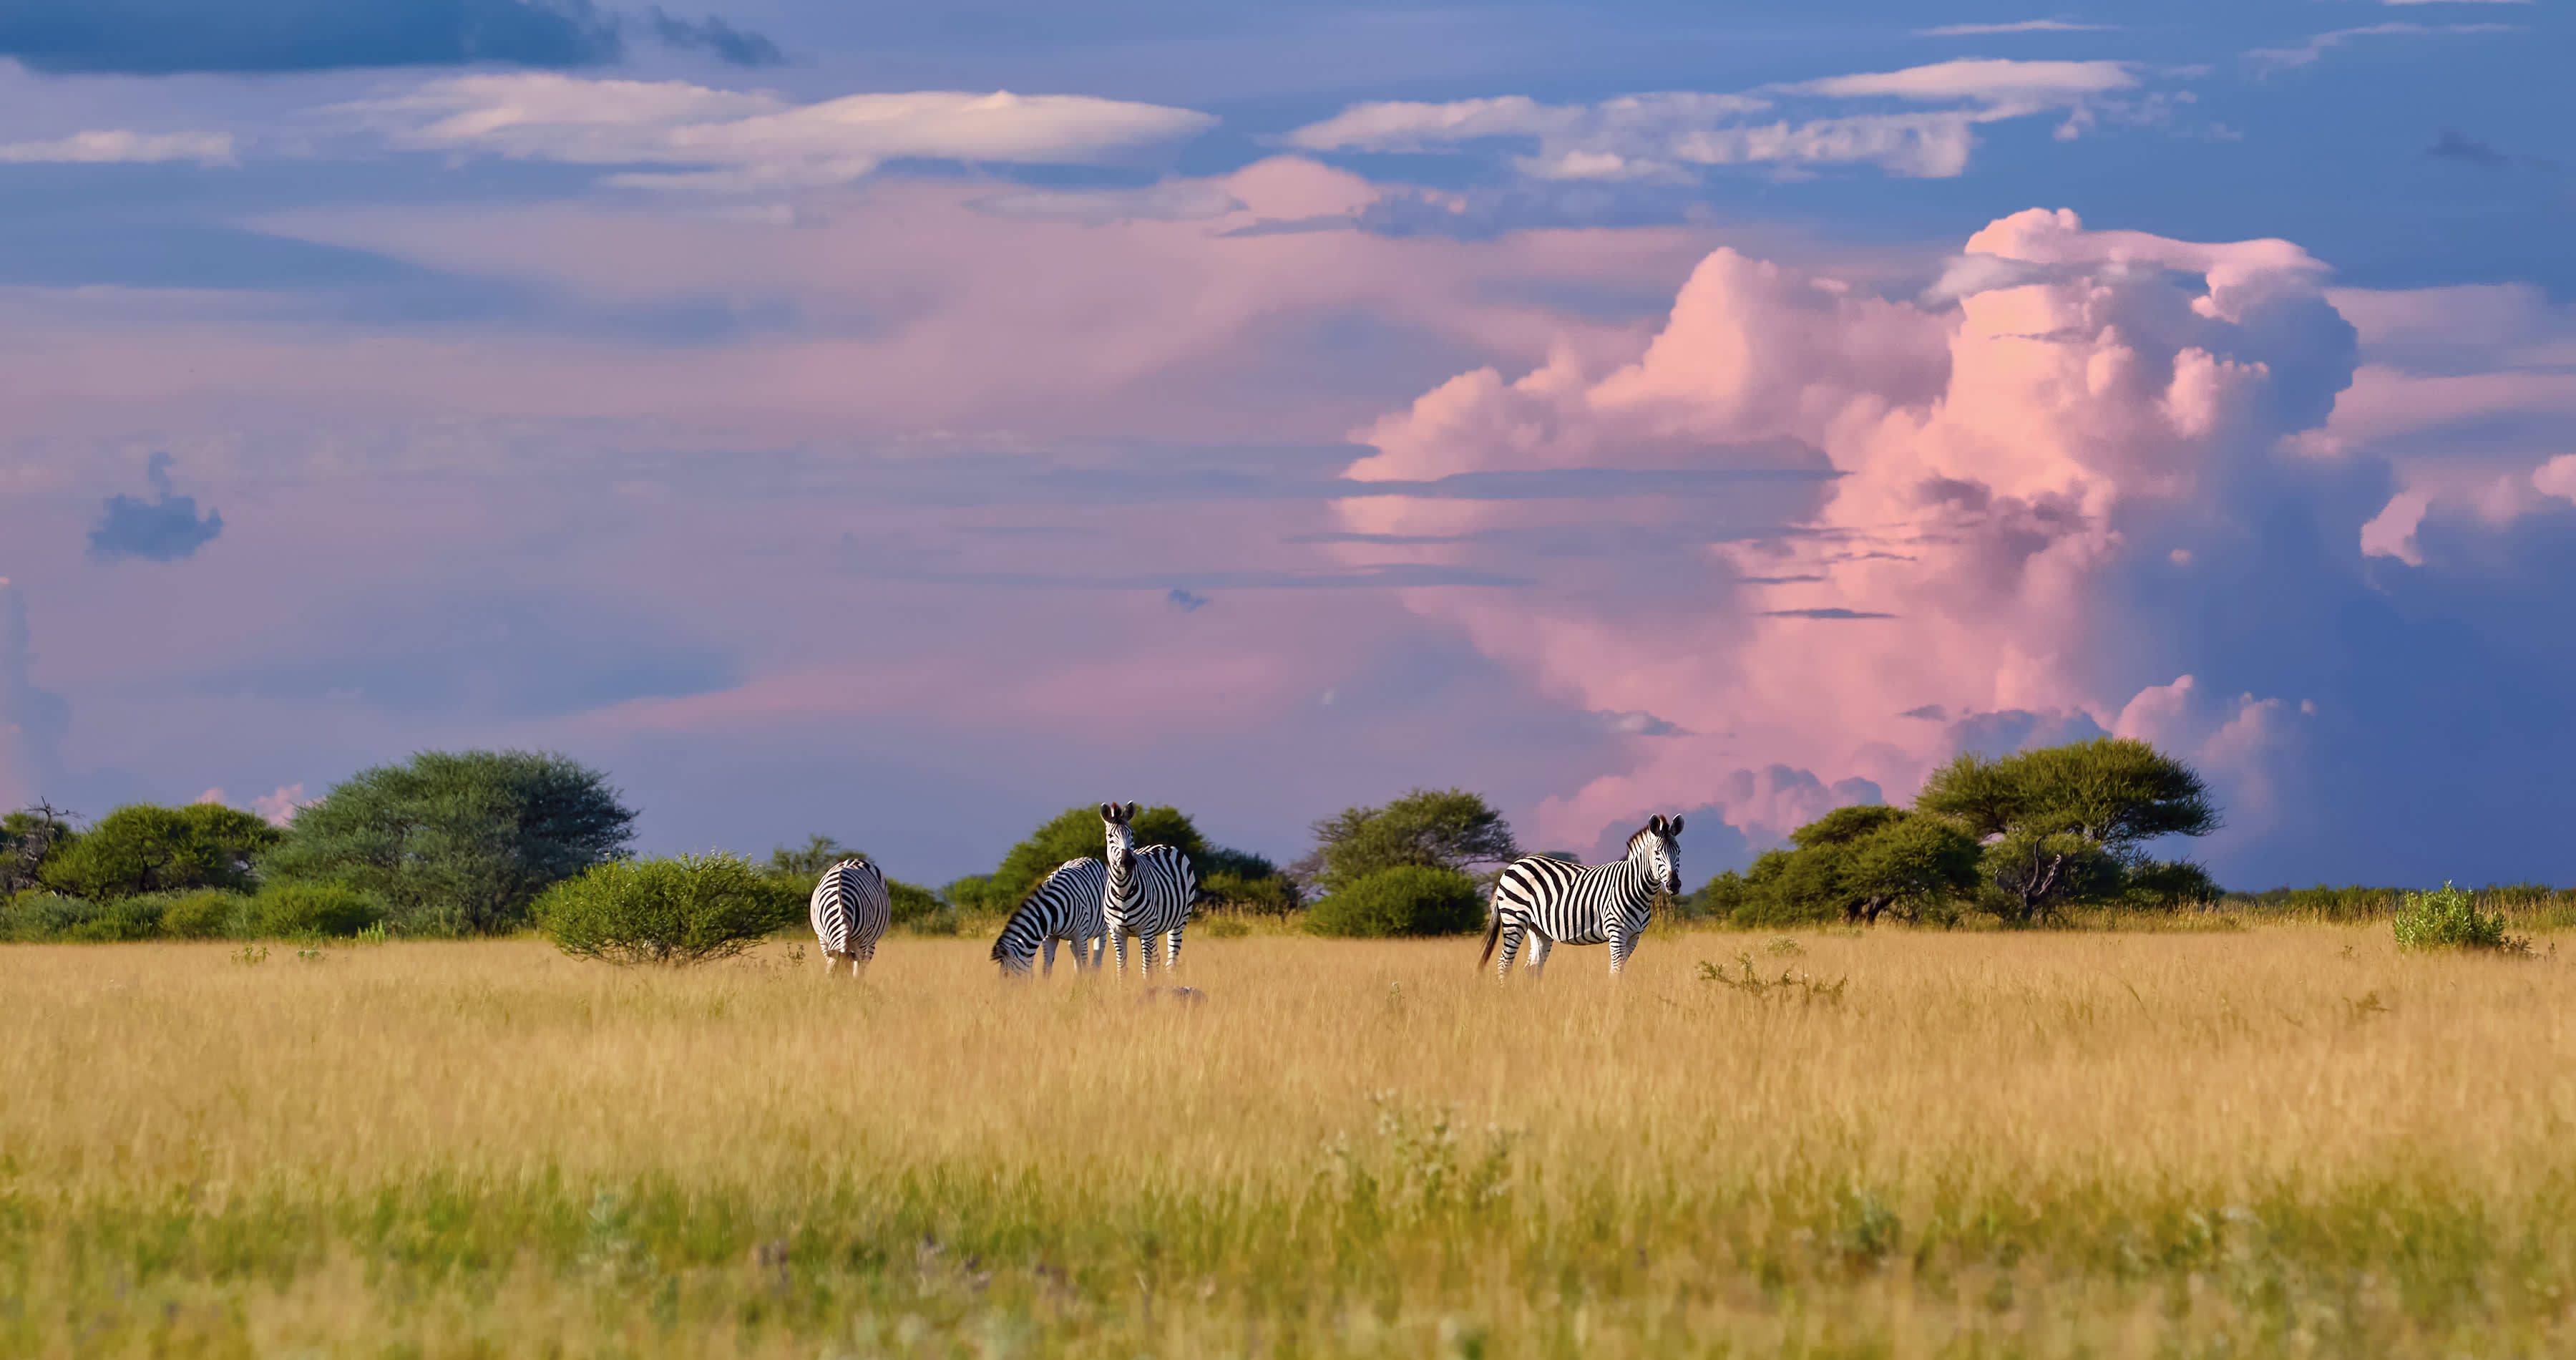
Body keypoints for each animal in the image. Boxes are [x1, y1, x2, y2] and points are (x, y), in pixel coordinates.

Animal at [814, 860, 896, 978]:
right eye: (831, 978)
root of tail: (856, 860)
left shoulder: (862, 942)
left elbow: (857, 973)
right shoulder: (822, 939)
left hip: (871, 941)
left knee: (863, 964)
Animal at [984, 860, 1108, 978]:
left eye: (1007, 976)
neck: (1052, 910)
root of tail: (1093, 860)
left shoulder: (1081, 933)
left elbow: (1085, 963)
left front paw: (1086, 984)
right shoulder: (1049, 937)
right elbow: (1047, 969)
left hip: (1101, 931)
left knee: (1096, 961)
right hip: (1073, 939)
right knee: (1077, 959)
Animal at [1097, 798, 1195, 978]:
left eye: (1132, 834)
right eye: (1110, 836)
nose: (1128, 862)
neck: (1122, 891)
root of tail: (1163, 845)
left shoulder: (1145, 929)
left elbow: (1145, 969)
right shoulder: (1116, 932)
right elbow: (1122, 969)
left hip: (1179, 922)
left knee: (1171, 962)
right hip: (1154, 929)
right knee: (1157, 960)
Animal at [1483, 814, 1679, 983]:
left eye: (1678, 852)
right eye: (1657, 852)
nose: (1674, 885)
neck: (1636, 890)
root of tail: (1511, 867)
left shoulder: (1634, 936)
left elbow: (1621, 969)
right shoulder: (1616, 932)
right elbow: (1616, 971)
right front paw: (1615, 997)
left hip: (1537, 928)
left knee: (1532, 967)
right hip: (1514, 918)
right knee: (1504, 963)